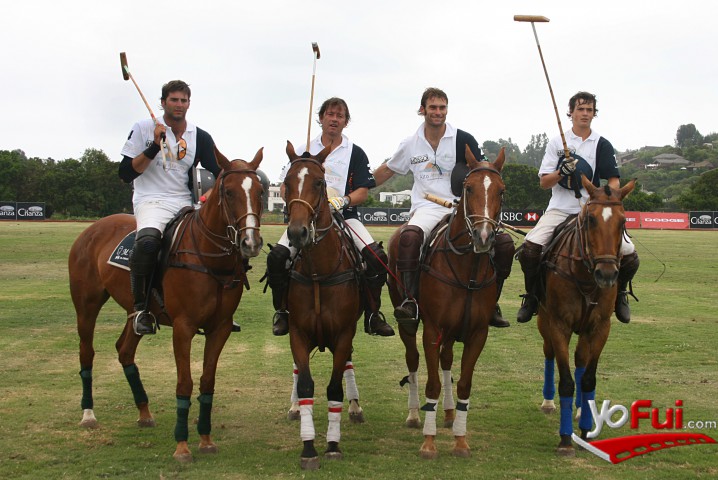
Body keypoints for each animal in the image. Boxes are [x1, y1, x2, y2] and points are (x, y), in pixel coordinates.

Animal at [69, 147, 268, 462]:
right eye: (228, 192)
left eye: (261, 191)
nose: (250, 243)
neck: (210, 258)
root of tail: (91, 229)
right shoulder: (183, 327)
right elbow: (184, 382)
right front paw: (182, 445)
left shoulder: (220, 328)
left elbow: (207, 381)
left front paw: (206, 439)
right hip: (86, 304)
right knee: (86, 352)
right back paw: (88, 413)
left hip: (135, 309)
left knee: (124, 350)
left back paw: (144, 412)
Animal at [282, 141, 366, 470]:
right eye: (285, 183)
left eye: (319, 182)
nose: (297, 233)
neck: (319, 271)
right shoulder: (298, 332)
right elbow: (306, 384)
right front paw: (308, 448)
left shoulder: (344, 333)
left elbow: (334, 387)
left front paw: (332, 444)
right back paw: (293, 408)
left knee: (347, 364)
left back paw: (354, 407)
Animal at [390, 145, 510, 458]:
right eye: (468, 188)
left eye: (502, 191)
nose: (483, 237)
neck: (468, 270)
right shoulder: (432, 329)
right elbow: (431, 383)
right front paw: (429, 442)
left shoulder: (478, 333)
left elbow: (465, 385)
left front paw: (460, 439)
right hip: (408, 322)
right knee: (412, 359)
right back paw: (414, 415)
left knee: (446, 360)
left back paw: (447, 412)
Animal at [536, 174, 640, 456]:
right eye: (590, 219)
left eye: (623, 221)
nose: (607, 274)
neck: (584, 273)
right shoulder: (559, 324)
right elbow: (566, 381)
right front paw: (564, 440)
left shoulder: (600, 326)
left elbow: (588, 378)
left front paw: (584, 431)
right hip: (543, 319)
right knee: (549, 352)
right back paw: (548, 402)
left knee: (581, 358)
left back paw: (583, 409)